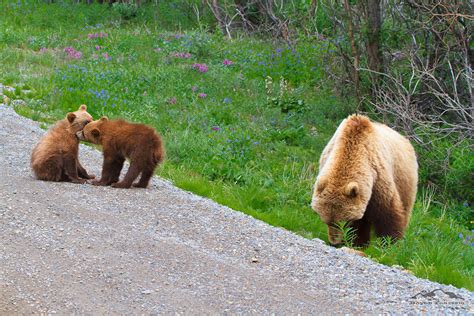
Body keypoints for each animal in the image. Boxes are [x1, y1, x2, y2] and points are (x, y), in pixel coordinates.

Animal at [312, 114, 418, 247]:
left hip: (405, 180)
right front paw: (358, 242)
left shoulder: (378, 178)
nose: (334, 242)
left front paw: (389, 242)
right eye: (326, 221)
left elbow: (388, 212)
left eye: (343, 222)